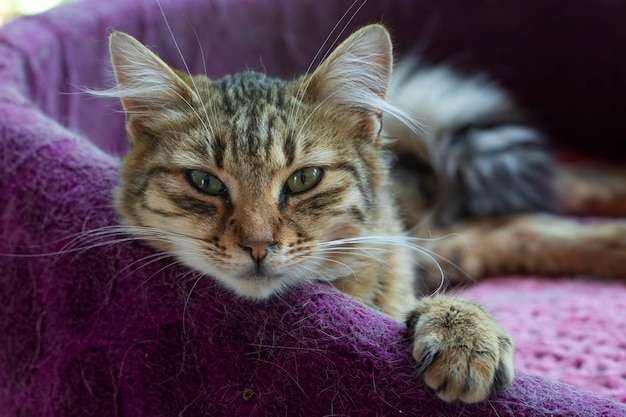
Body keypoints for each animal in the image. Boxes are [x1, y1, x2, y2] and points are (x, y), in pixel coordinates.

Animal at [100, 22, 624, 404]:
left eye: (304, 179)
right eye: (205, 182)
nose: (258, 246)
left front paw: (467, 337)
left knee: (562, 190)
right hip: (453, 241)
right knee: (525, 225)